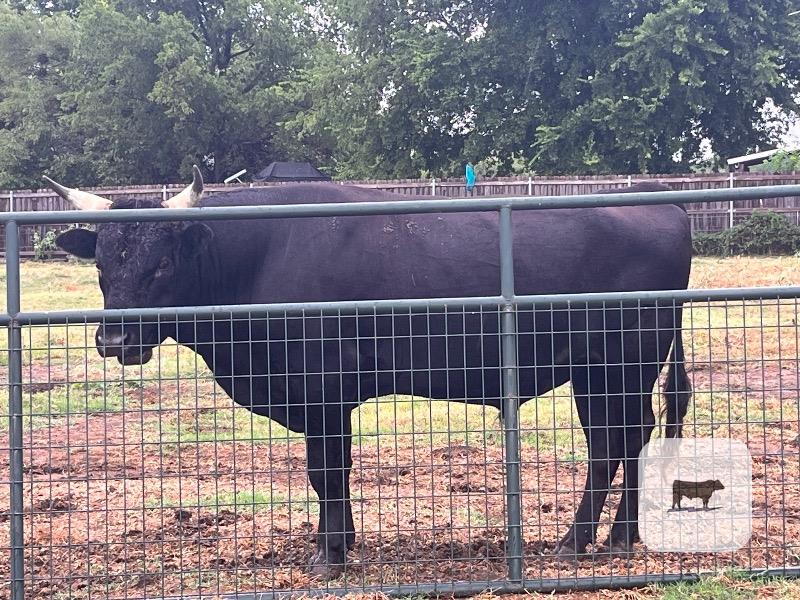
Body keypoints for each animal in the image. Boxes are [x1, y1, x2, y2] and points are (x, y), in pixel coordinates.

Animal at [48, 172, 692, 577]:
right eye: (102, 265)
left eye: (161, 263)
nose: (114, 341)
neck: (258, 257)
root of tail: (659, 201)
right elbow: (329, 475)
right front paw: (339, 541)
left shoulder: (323, 388)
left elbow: (326, 471)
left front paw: (330, 553)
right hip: (598, 371)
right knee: (620, 441)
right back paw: (612, 537)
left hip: (619, 363)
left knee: (618, 441)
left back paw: (587, 541)